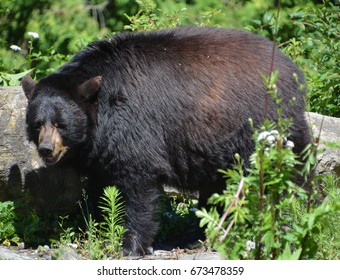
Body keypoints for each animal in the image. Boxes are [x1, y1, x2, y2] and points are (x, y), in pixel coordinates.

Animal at [21, 26, 310, 256]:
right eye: (37, 124)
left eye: (61, 124)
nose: (46, 149)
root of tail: (292, 68)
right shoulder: (100, 150)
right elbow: (101, 187)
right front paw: (101, 228)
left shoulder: (134, 125)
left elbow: (139, 185)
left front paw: (131, 245)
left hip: (264, 125)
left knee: (289, 173)